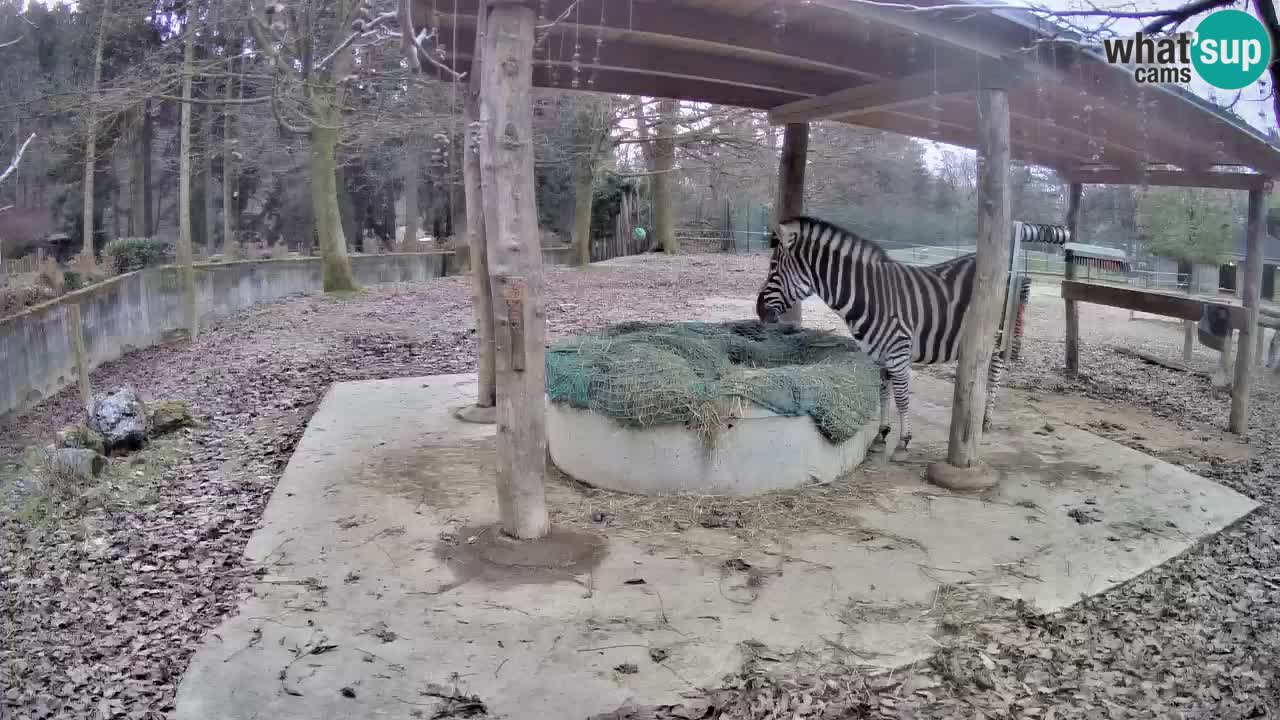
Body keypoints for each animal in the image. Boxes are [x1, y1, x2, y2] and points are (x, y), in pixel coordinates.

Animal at [752, 212, 1034, 458]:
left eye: (773, 267)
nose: (759, 310)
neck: (869, 296)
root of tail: (1010, 271)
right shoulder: (878, 354)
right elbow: (883, 393)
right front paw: (881, 435)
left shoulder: (898, 351)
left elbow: (901, 397)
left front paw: (903, 442)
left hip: (996, 335)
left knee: (995, 373)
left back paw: (985, 420)